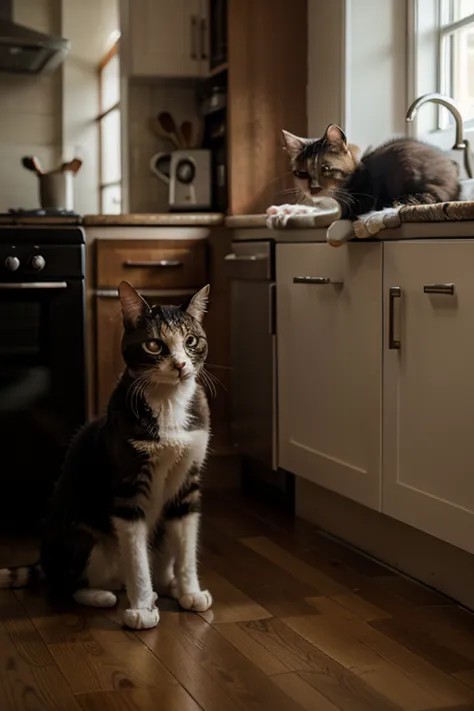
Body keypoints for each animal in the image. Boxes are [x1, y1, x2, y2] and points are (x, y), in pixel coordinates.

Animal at [0, 280, 213, 632]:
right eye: (154, 345)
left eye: (191, 340)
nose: (181, 365)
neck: (168, 401)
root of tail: (44, 558)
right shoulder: (127, 484)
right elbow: (136, 557)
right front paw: (141, 609)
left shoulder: (189, 477)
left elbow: (186, 542)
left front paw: (190, 592)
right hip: (79, 537)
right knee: (68, 584)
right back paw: (105, 595)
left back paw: (167, 585)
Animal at [268, 124, 462, 243]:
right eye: (301, 173)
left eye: (326, 168)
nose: (313, 189)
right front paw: (287, 210)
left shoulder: (359, 201)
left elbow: (334, 215)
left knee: (419, 199)